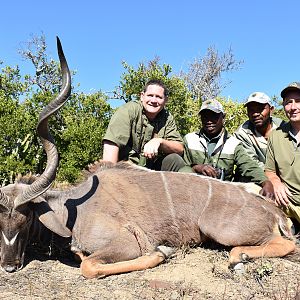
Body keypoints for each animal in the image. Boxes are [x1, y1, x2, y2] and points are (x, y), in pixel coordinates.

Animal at [0, 39, 296, 278]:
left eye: (26, 218)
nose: (9, 266)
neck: (71, 211)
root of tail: (273, 211)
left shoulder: (127, 242)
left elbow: (89, 265)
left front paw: (163, 252)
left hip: (220, 230)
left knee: (286, 243)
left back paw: (238, 258)